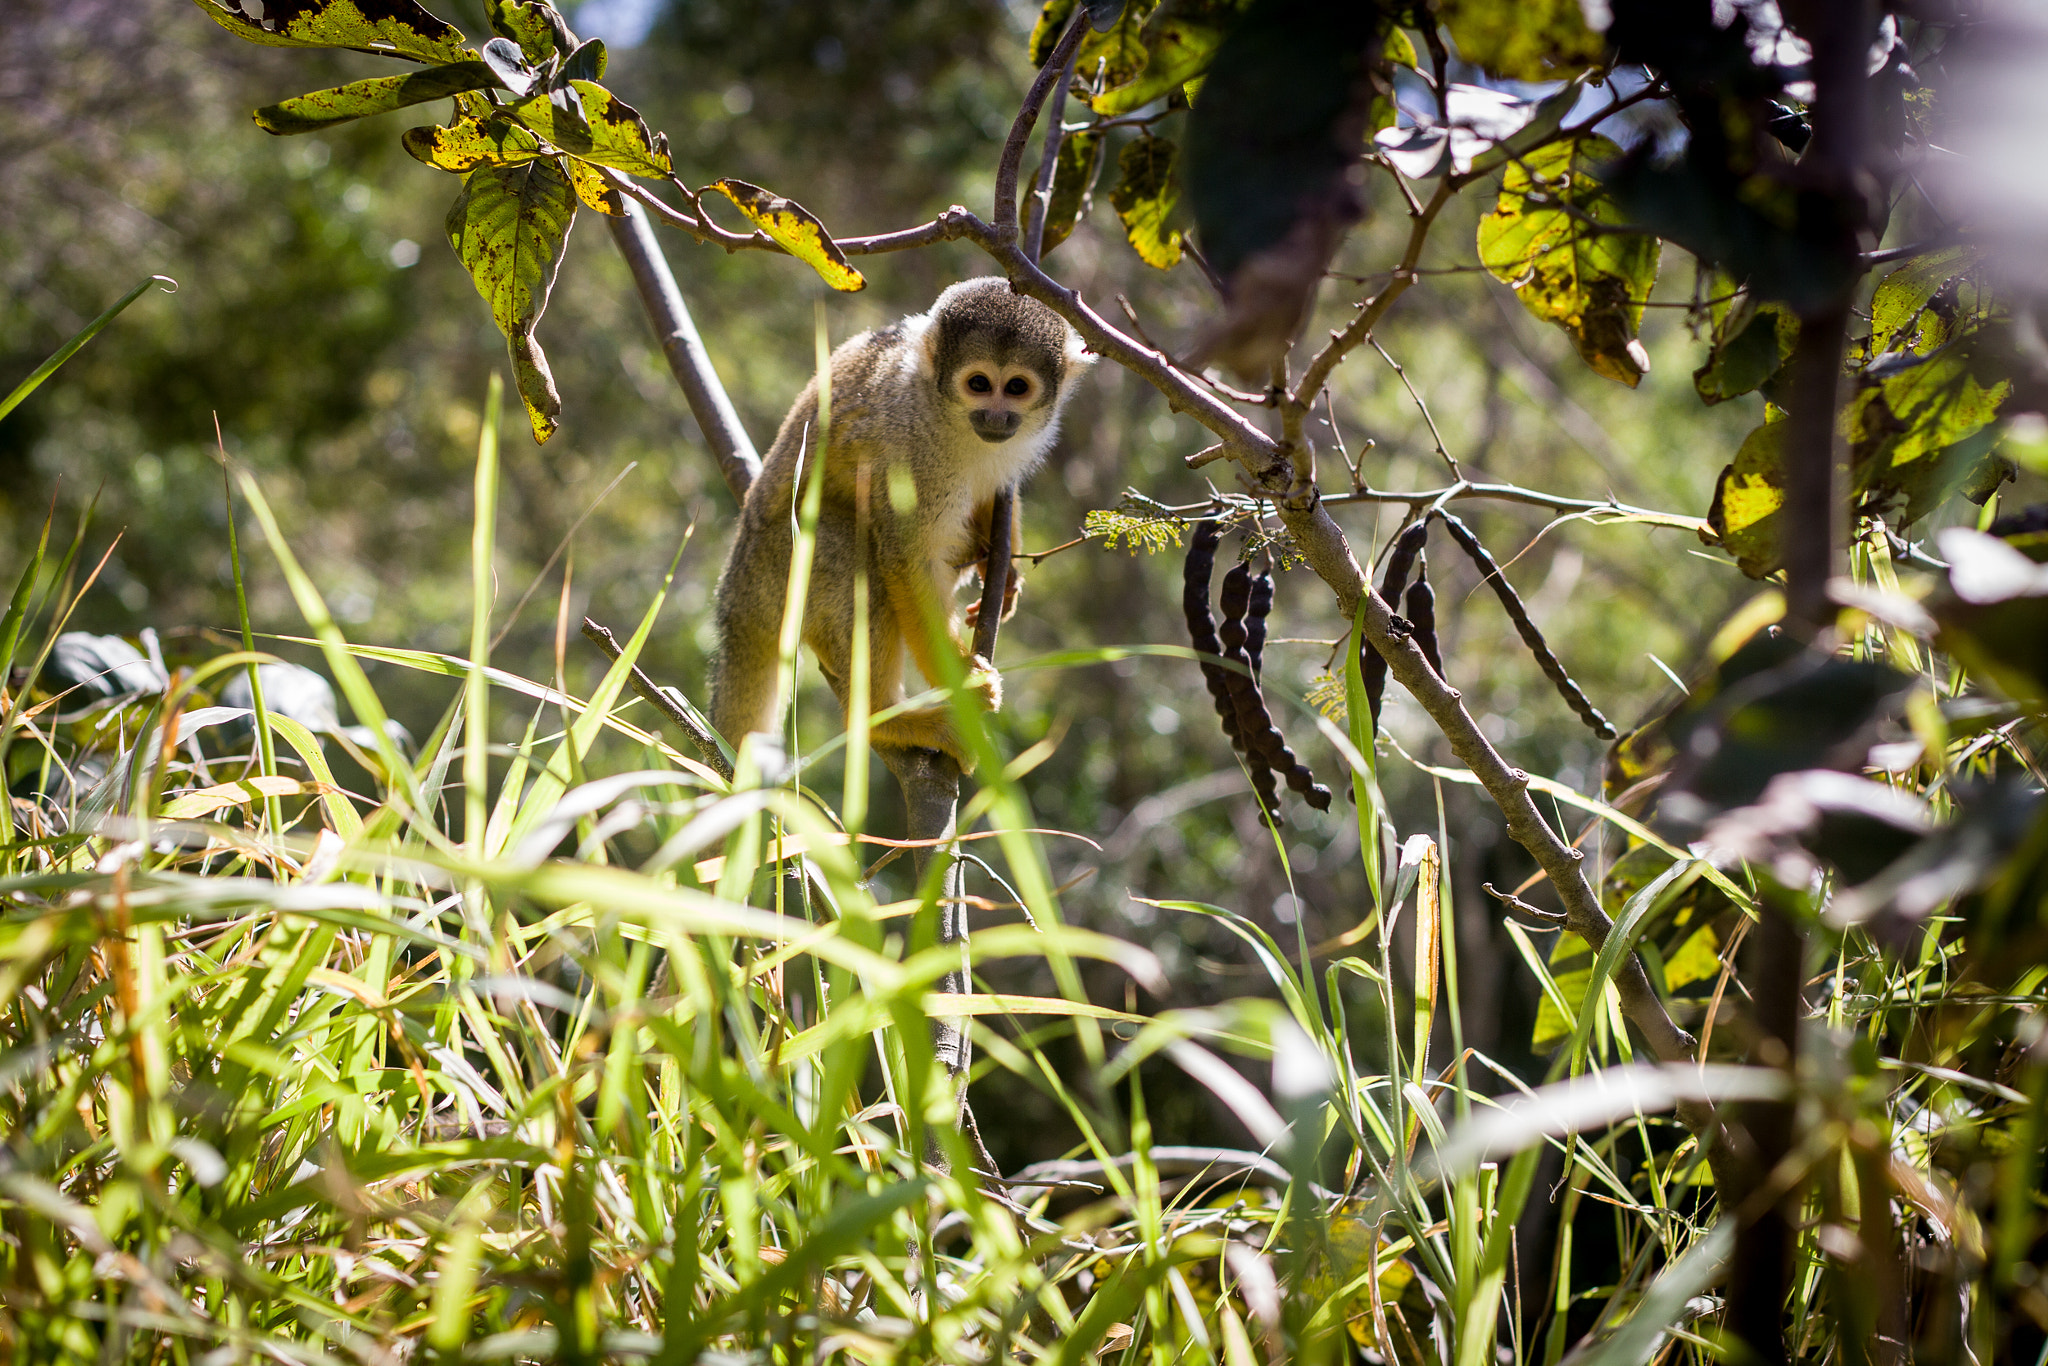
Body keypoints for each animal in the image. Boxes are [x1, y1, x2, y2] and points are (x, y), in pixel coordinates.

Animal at [708, 280, 1089, 770]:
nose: (997, 417)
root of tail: (734, 597)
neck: (945, 414)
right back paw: (883, 721)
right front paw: (963, 681)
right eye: (979, 384)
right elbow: (908, 562)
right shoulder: (913, 450)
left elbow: (993, 489)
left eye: (1017, 387)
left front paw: (1003, 573)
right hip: (777, 568)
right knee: (856, 559)